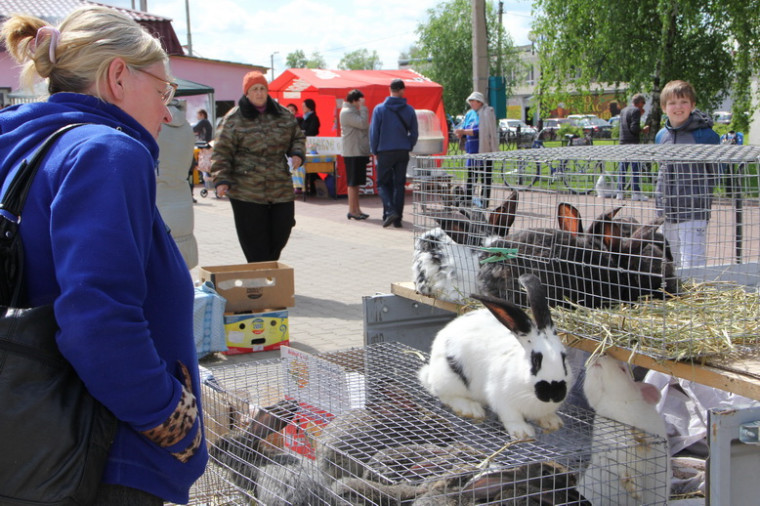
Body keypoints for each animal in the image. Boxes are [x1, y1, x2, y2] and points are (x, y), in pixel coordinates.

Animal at [418, 272, 572, 438]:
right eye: (535, 361)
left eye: (564, 358)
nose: (554, 393)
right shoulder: (501, 398)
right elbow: (511, 416)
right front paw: (523, 433)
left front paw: (552, 421)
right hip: (451, 380)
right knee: (445, 395)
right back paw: (471, 409)